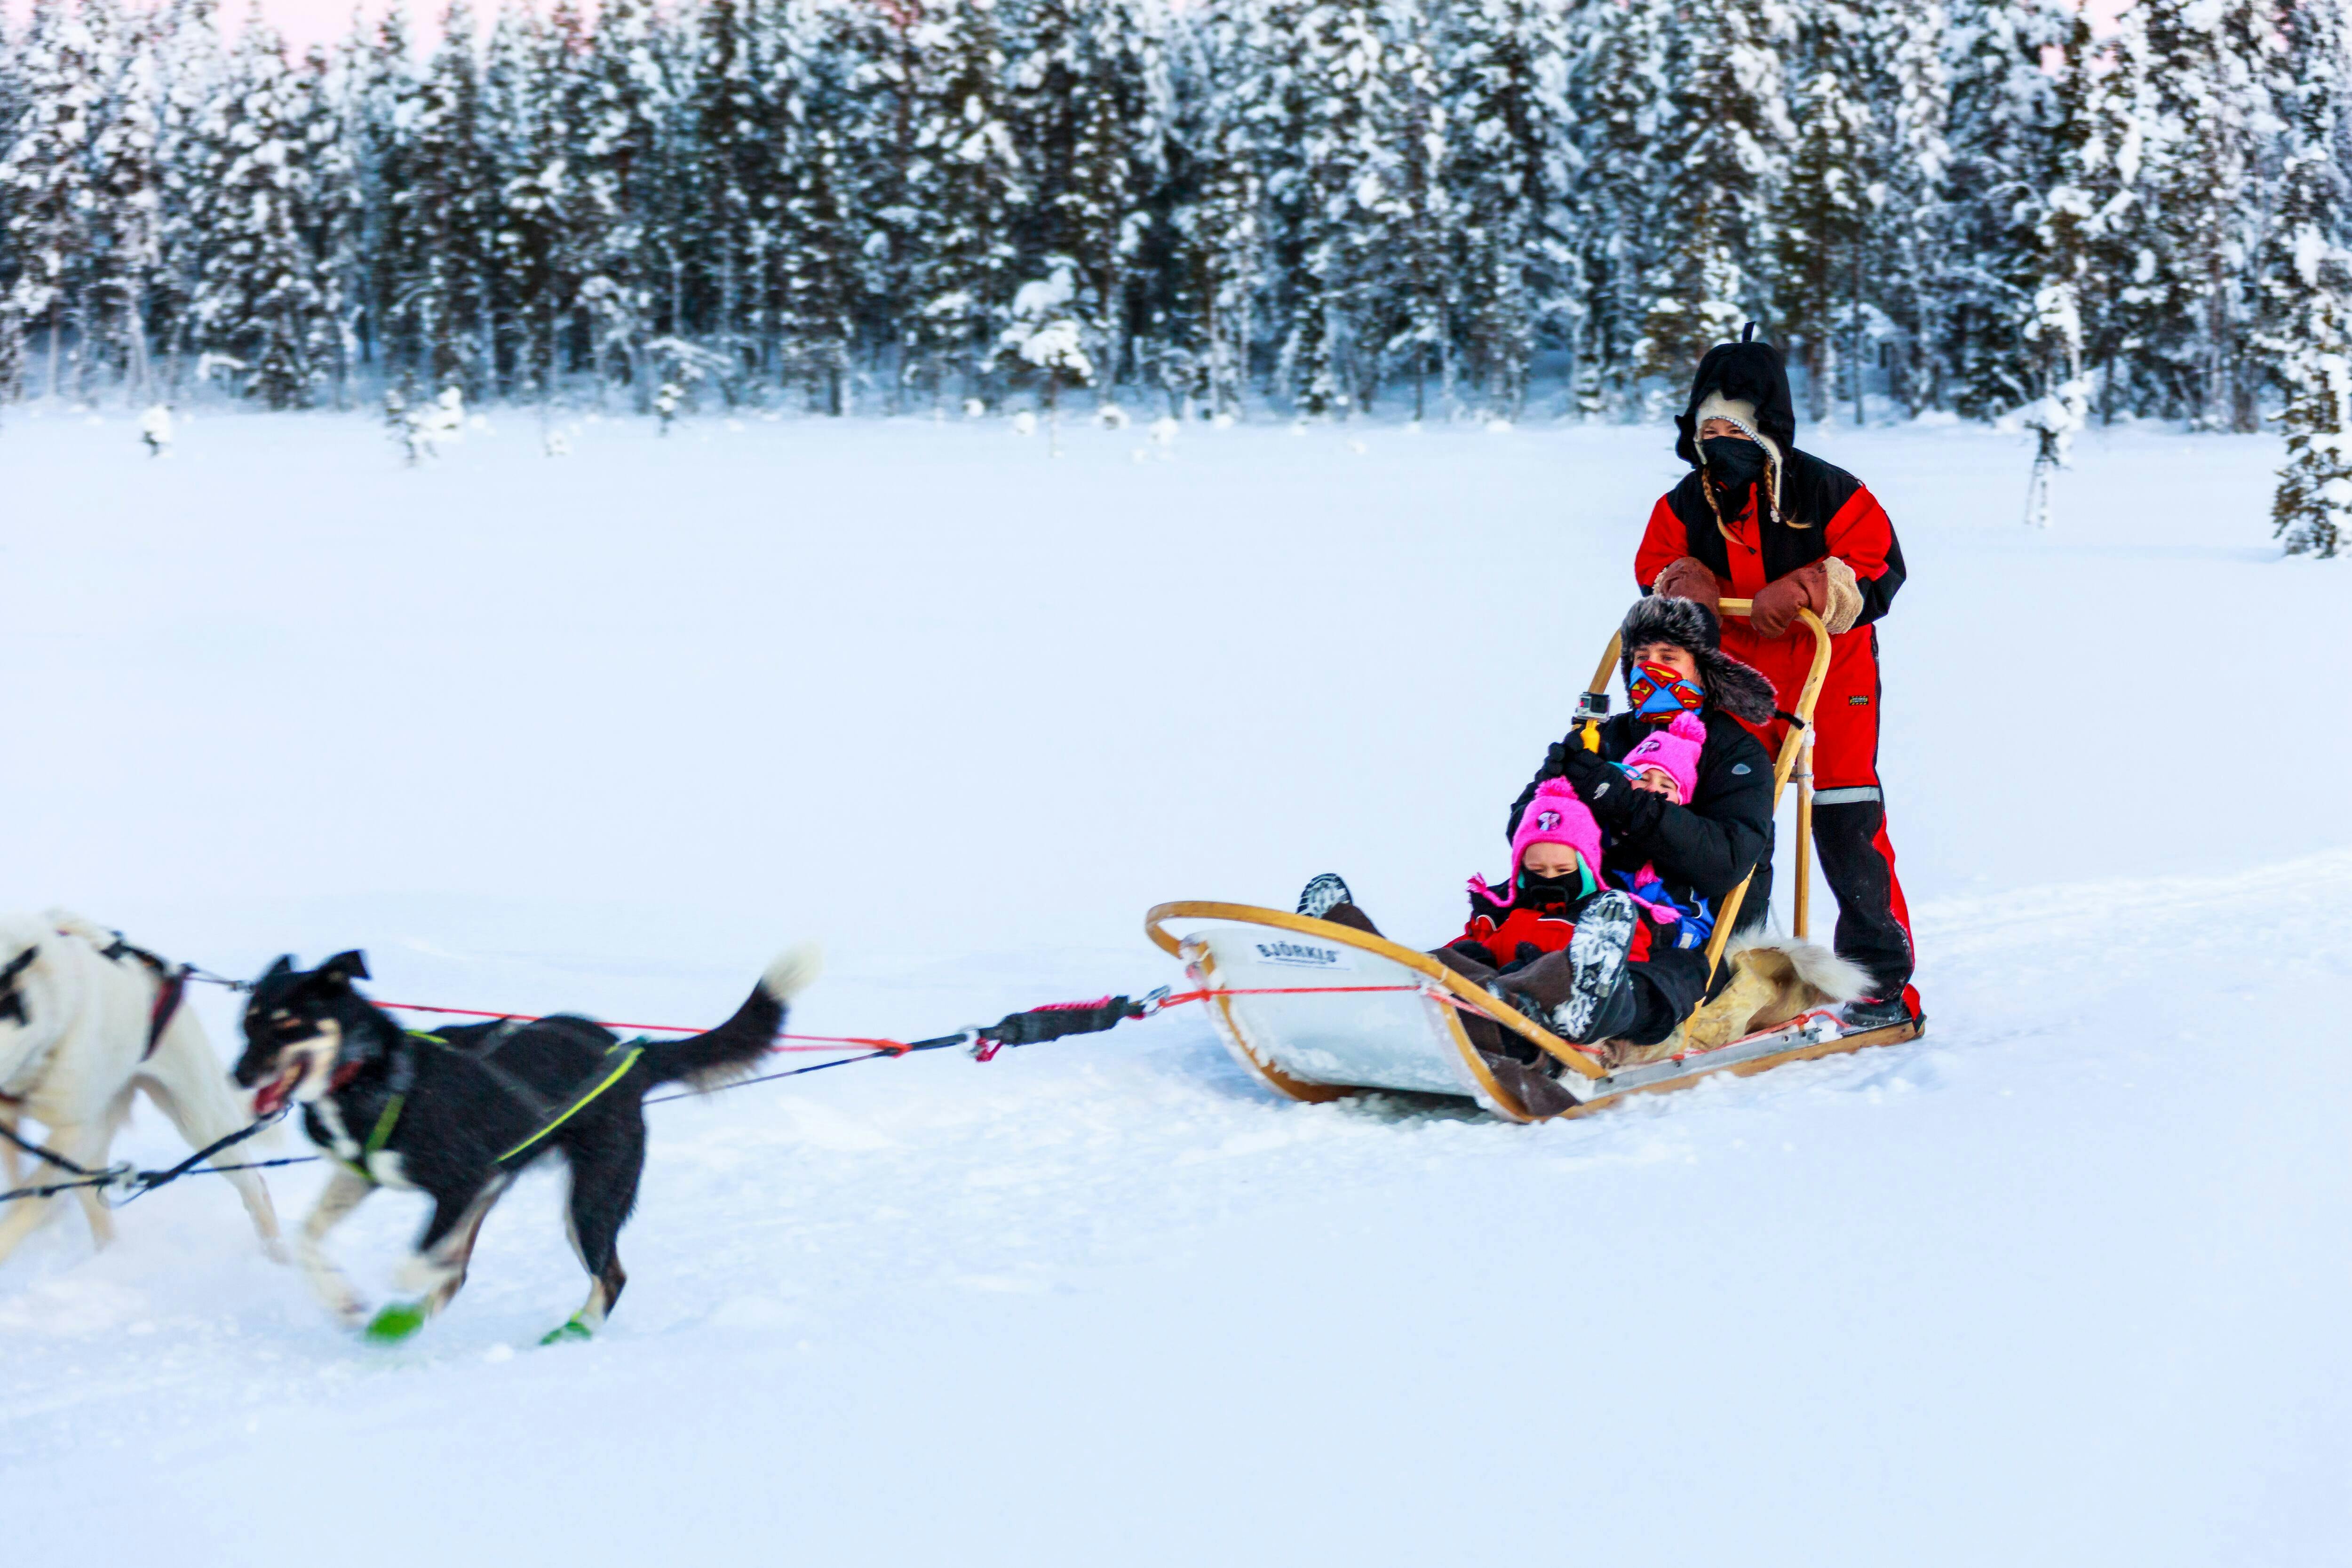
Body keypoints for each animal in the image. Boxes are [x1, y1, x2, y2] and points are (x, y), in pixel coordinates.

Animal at [0, 912, 283, 1269]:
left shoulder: (75, 1130)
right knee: (95, 1203)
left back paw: (278, 1256)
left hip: (203, 1123)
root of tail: (164, 968)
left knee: (256, 1187)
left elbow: (31, 1198)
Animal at [231, 945, 818, 1354]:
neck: (373, 1073)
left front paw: (405, 1280)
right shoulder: (363, 1175)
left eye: (288, 1024)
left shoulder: (462, 1180)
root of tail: (630, 1053)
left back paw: (575, 1330)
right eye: (248, 1023)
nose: (237, 1075)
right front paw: (343, 1300)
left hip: (590, 1200)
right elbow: (308, 1237)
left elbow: (413, 1262)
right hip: (521, 1186)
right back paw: (408, 1320)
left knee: (611, 1275)